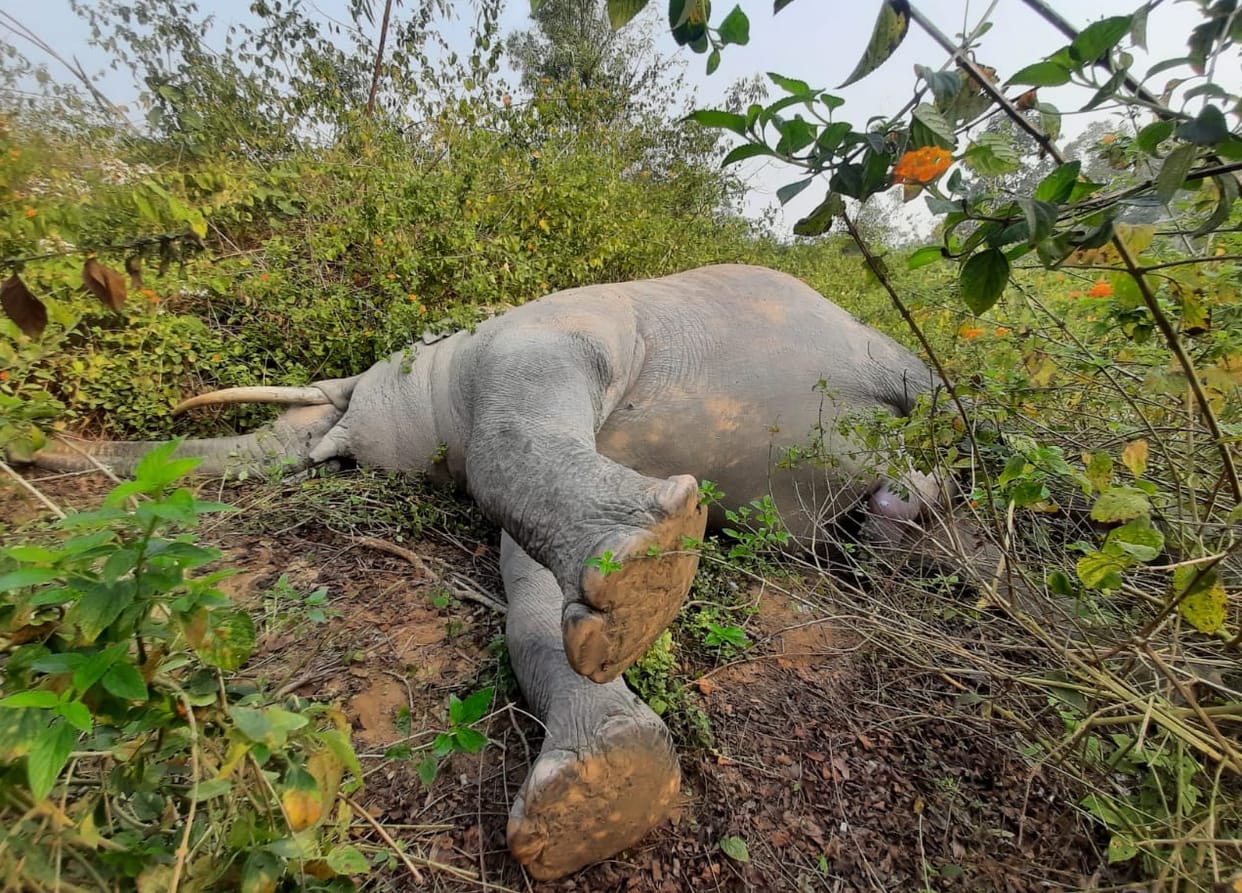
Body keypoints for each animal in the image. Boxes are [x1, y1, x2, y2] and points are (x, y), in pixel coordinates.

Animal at [27, 264, 999, 879]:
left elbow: (506, 444)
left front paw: (648, 562)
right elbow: (530, 599)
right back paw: (910, 526)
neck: (447, 354)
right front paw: (604, 796)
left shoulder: (546, 332)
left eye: (347, 397)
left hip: (875, 346)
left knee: (946, 403)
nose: (44, 458)